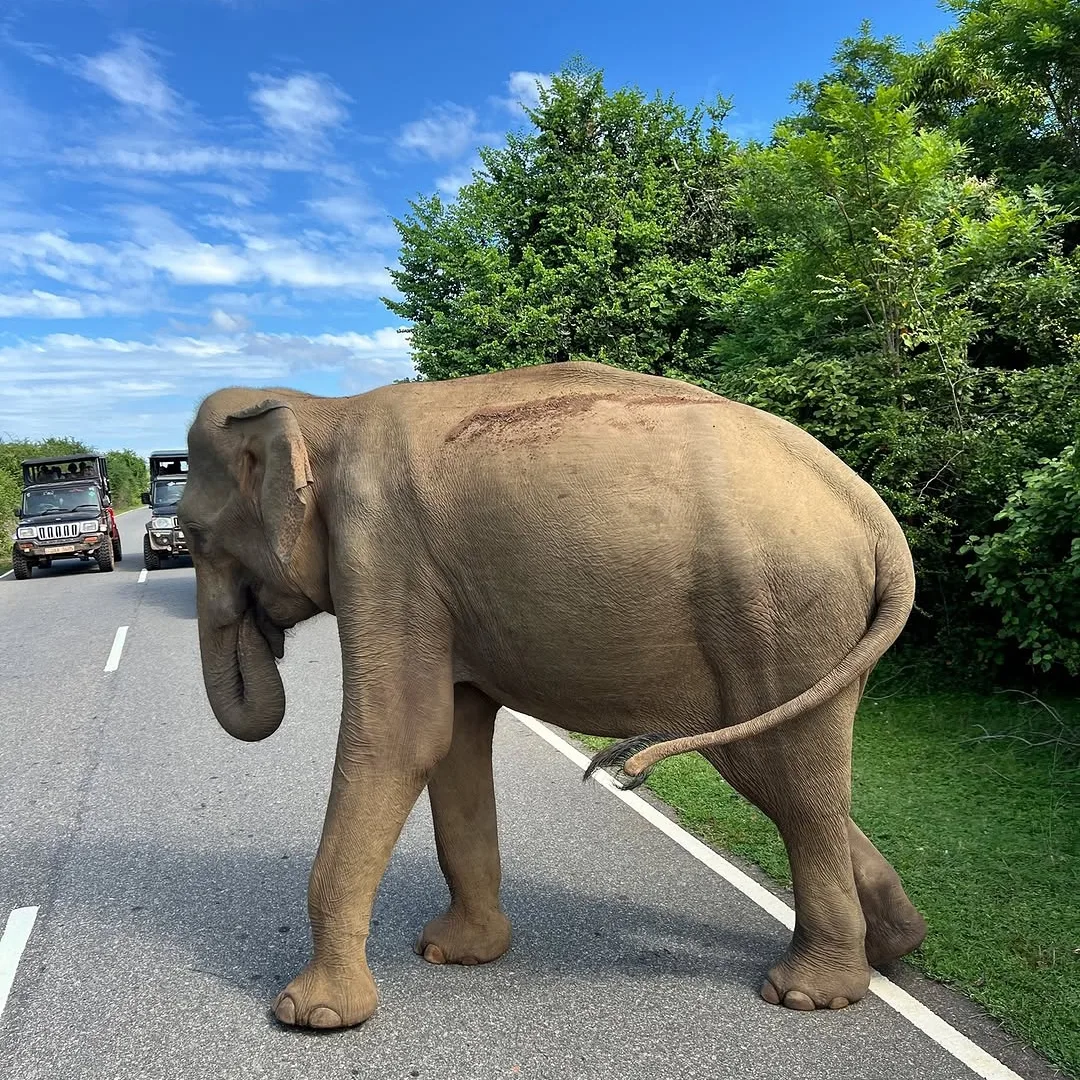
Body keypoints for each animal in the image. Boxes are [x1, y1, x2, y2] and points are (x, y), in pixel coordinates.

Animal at [178, 359, 927, 1030]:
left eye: (192, 534)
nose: (266, 634)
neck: (321, 408)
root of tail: (876, 518)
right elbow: (454, 739)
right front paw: (456, 954)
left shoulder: (380, 552)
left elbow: (401, 736)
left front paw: (312, 1015)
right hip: (807, 637)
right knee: (793, 781)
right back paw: (891, 946)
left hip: (781, 621)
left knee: (791, 783)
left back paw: (809, 993)